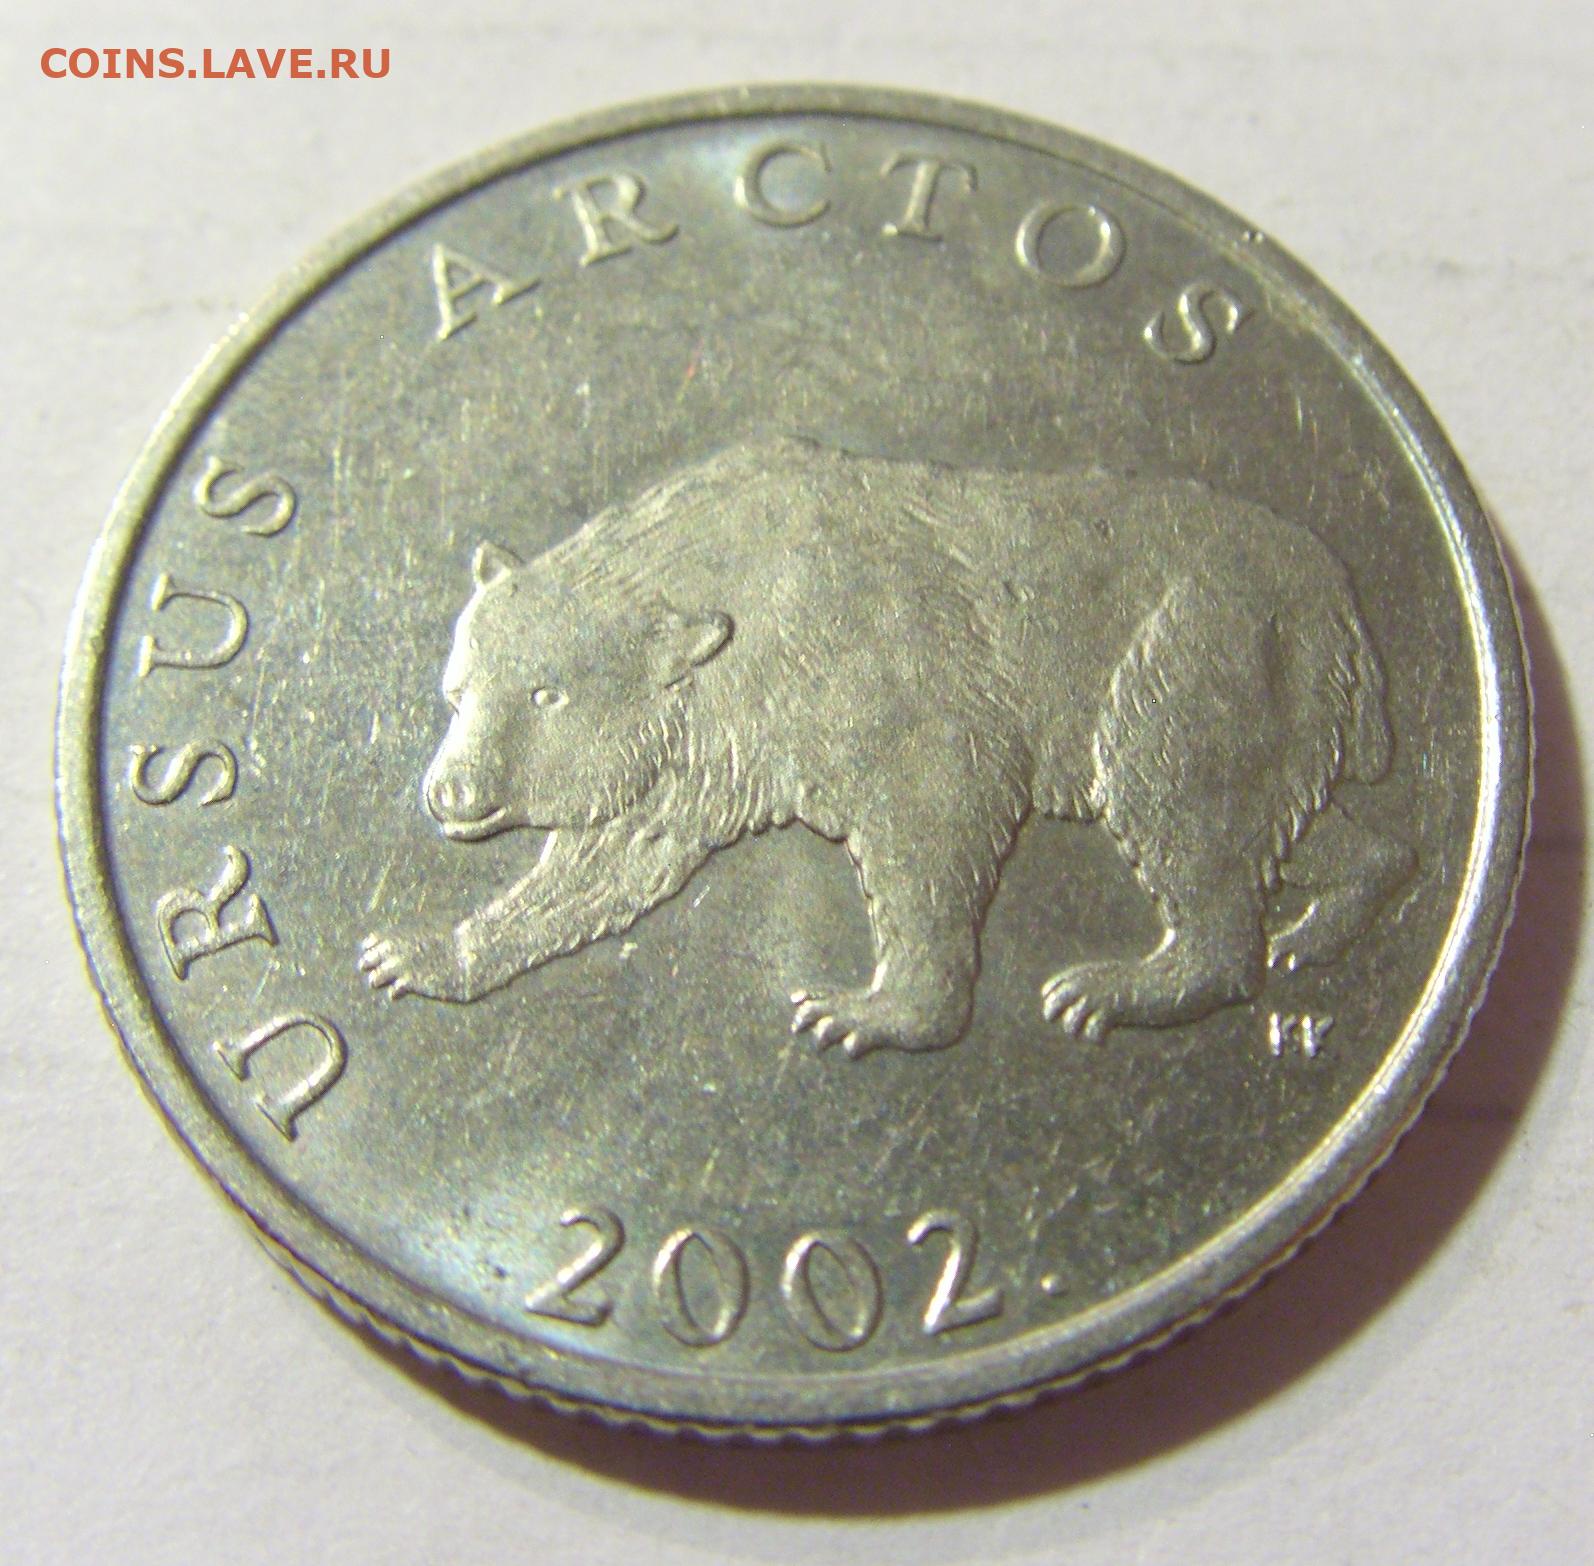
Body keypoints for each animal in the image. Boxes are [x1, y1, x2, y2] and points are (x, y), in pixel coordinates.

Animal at [359, 436, 1413, 1055]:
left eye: (547, 693)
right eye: (458, 688)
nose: (450, 794)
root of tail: (1341, 589)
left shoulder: (875, 666)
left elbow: (934, 817)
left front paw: (873, 1008)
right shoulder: (705, 749)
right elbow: (607, 865)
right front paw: (427, 951)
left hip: (1194, 640)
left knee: (1176, 794)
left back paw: (1128, 982)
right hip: (1277, 686)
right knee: (1278, 816)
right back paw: (1332, 910)